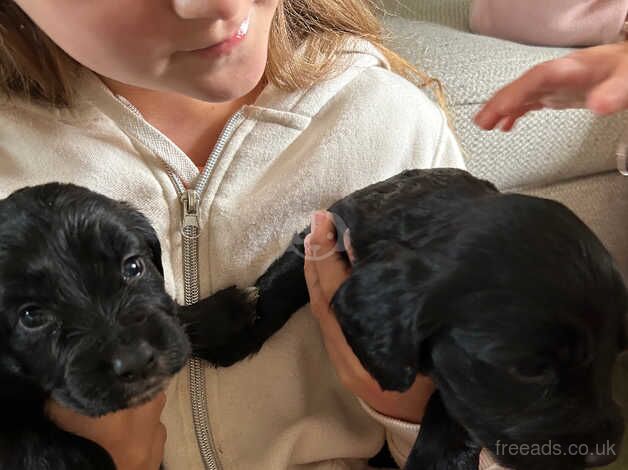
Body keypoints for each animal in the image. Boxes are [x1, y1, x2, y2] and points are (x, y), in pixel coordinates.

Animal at [193, 169, 628, 470]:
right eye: (529, 371)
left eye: (616, 354)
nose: (606, 454)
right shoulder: (328, 230)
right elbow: (280, 284)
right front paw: (231, 327)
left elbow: (453, 411)